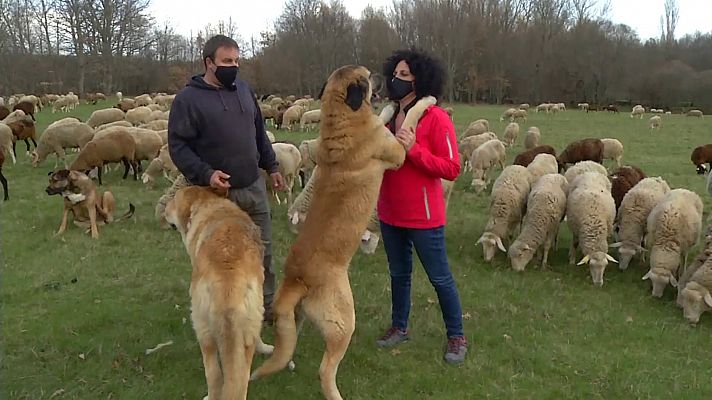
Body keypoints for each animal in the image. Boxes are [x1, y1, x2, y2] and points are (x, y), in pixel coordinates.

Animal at [165, 187, 274, 400]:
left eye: (173, 200)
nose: (164, 209)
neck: (209, 204)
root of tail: (227, 278)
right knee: (238, 377)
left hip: (202, 325)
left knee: (214, 374)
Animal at [249, 64, 434, 398]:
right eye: (368, 75)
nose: (383, 77)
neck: (341, 120)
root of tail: (297, 280)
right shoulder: (397, 151)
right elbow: (409, 120)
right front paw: (423, 101)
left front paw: (389, 108)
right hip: (343, 322)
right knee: (325, 370)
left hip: (292, 319)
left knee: (286, 348)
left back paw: (287, 362)